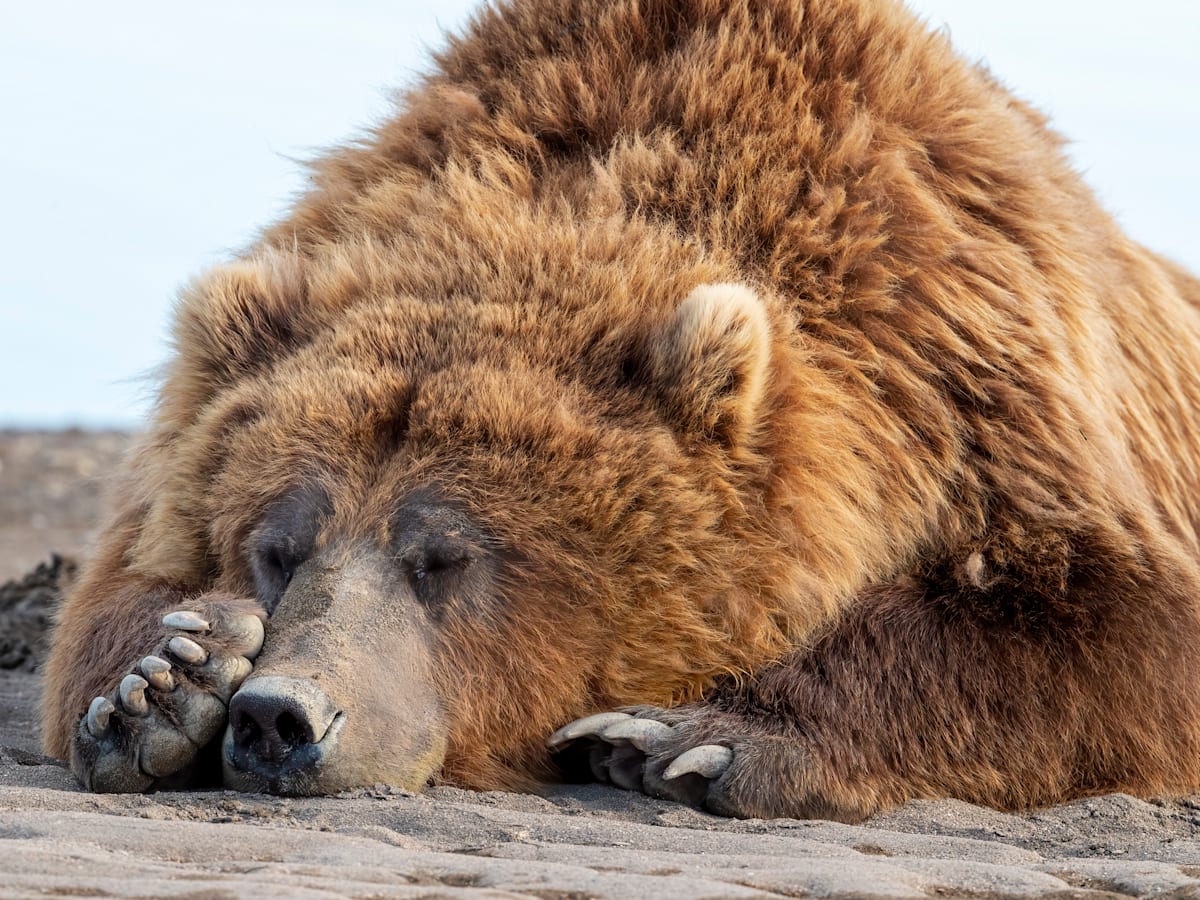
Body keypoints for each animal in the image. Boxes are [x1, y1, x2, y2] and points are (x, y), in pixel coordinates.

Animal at [41, 0, 1200, 822]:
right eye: (277, 546)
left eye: (446, 557)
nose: (278, 715)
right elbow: (116, 582)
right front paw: (165, 678)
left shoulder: (987, 381)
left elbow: (1118, 627)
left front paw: (689, 735)